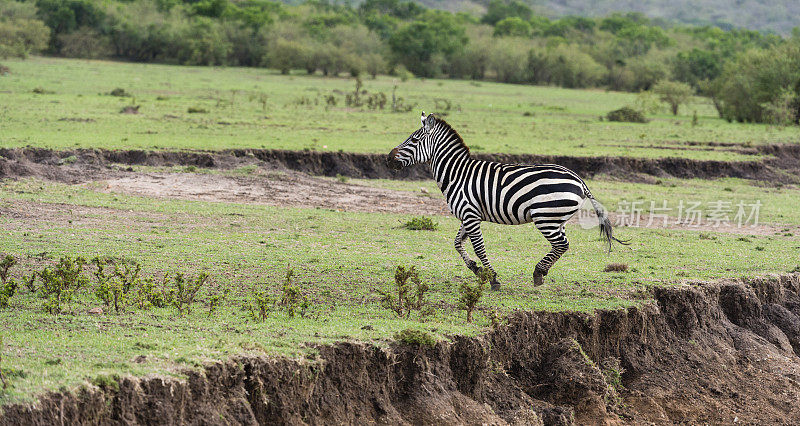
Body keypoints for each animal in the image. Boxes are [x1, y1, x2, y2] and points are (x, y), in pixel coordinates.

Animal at [386, 111, 624, 292]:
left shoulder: (470, 215)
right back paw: (542, 272)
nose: (388, 159)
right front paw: (476, 269)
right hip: (557, 219)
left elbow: (479, 248)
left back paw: (538, 272)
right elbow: (457, 244)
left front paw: (492, 278)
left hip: (545, 218)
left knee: (562, 244)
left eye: (413, 140)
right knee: (560, 245)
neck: (457, 174)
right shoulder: (467, 215)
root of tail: (579, 180)